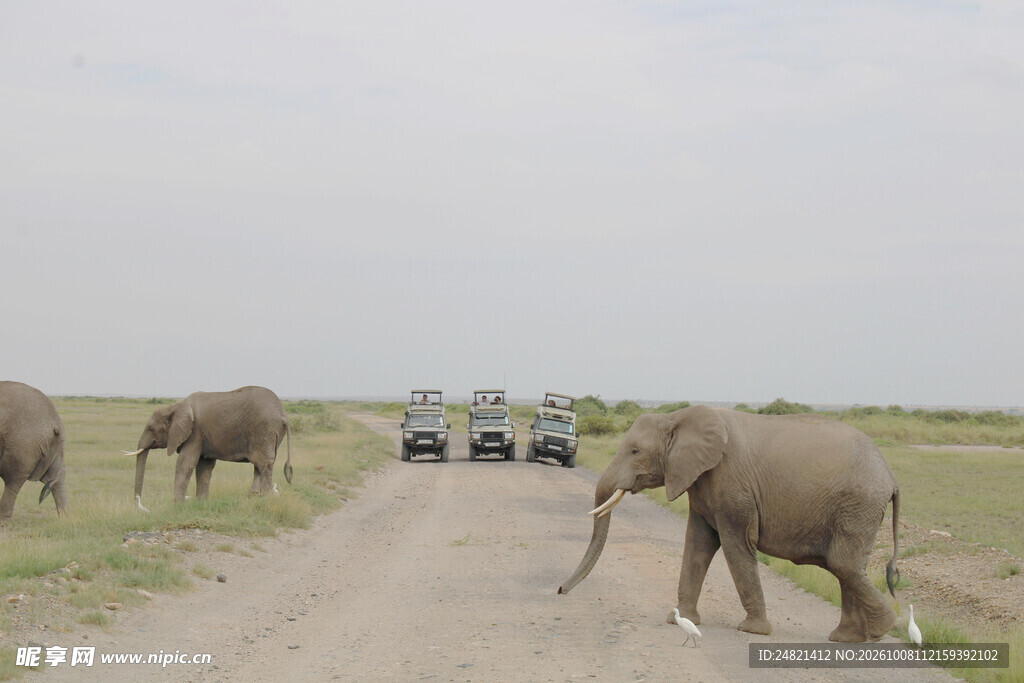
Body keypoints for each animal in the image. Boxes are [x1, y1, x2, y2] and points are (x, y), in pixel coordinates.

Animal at [0, 381, 69, 519]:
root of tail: (57, 422)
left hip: (23, 443)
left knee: (13, 478)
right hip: (51, 447)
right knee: (57, 480)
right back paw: (66, 518)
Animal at [123, 386, 292, 507]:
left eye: (151, 429)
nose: (138, 502)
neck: (176, 406)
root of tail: (283, 414)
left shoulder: (195, 432)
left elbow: (185, 463)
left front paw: (177, 505)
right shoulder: (203, 436)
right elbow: (204, 466)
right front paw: (201, 503)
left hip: (263, 430)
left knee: (263, 463)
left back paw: (266, 498)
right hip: (270, 433)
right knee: (259, 465)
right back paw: (254, 497)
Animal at [559, 405, 901, 643]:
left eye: (634, 451)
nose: (560, 590)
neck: (677, 417)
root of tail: (890, 476)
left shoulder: (733, 486)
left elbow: (735, 545)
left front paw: (753, 631)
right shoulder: (700, 482)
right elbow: (698, 544)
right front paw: (678, 619)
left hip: (858, 504)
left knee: (842, 562)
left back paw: (882, 629)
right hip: (858, 508)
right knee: (847, 566)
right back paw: (847, 638)